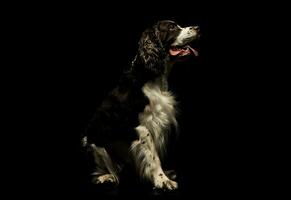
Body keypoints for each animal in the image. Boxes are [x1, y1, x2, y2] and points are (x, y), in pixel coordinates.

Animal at [82, 20, 201, 191]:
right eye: (172, 27)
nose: (198, 28)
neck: (149, 76)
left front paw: (163, 175)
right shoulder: (142, 127)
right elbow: (153, 156)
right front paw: (162, 180)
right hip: (94, 143)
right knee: (104, 170)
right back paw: (106, 177)